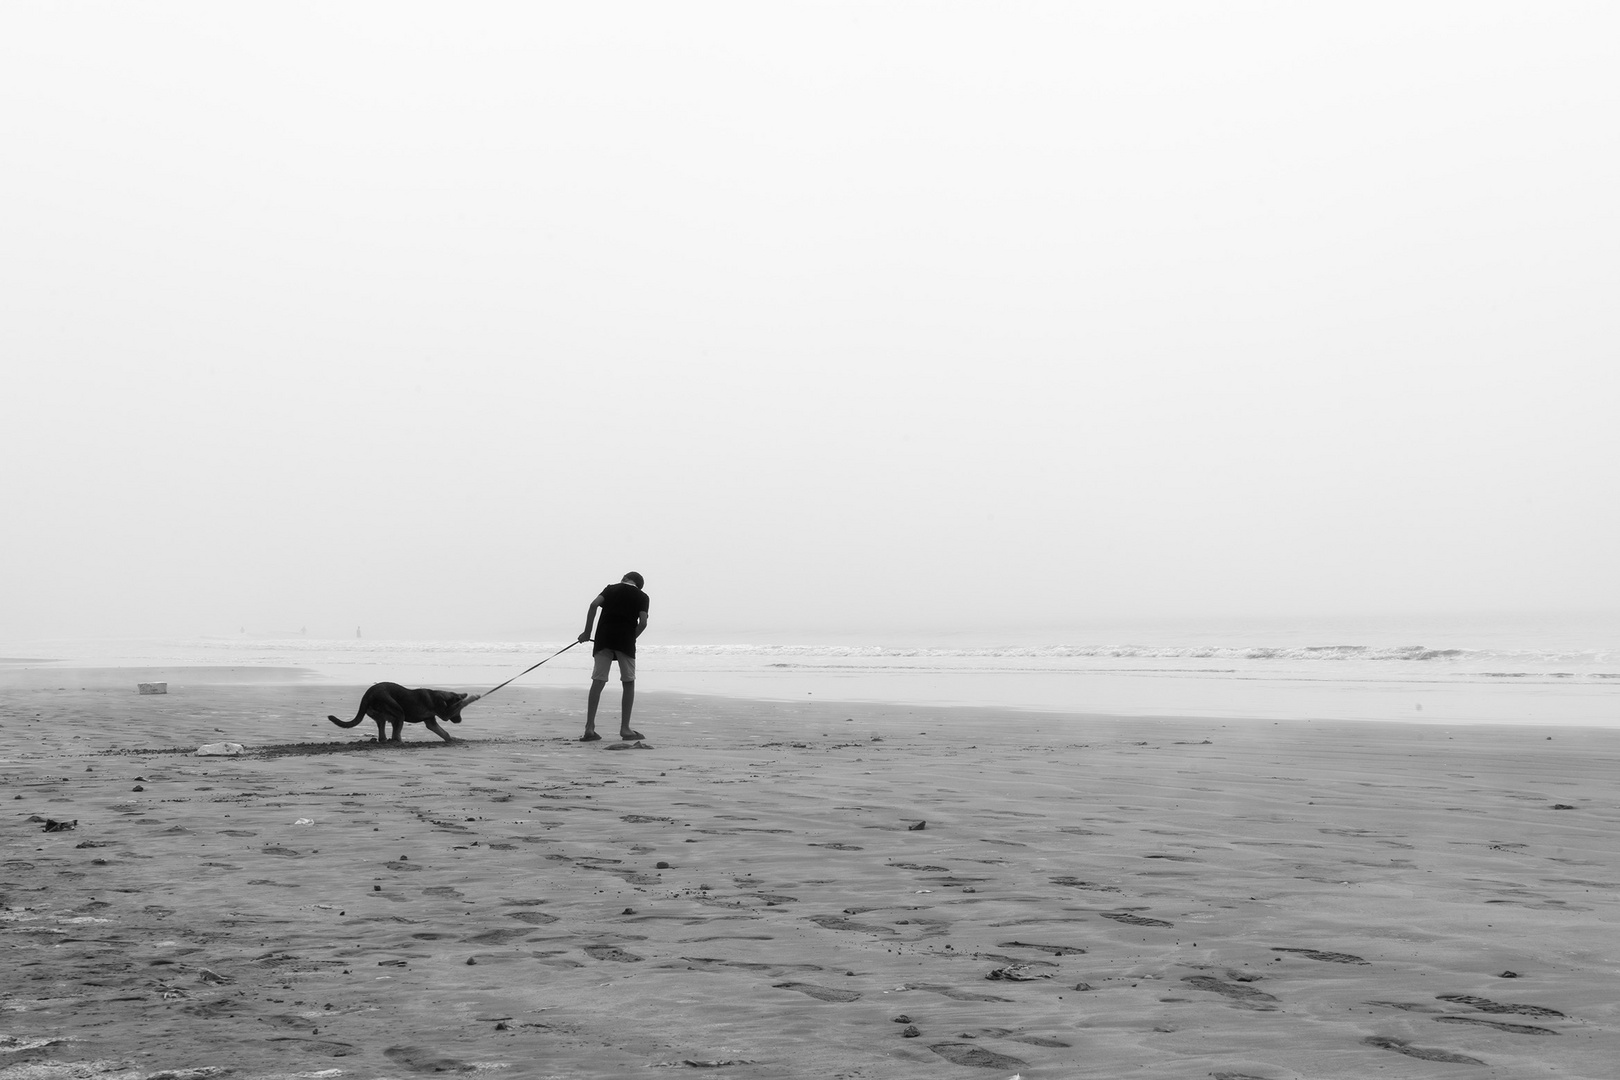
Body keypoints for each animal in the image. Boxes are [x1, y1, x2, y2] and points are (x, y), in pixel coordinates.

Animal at [327, 683, 479, 744]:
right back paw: (401, 742)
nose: (459, 721)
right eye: (459, 712)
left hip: (382, 718)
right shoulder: (445, 714)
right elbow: (462, 703)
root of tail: (367, 695)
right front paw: (473, 697)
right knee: (395, 736)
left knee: (384, 735)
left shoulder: (431, 722)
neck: (442, 696)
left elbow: (444, 733)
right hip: (399, 713)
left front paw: (452, 740)